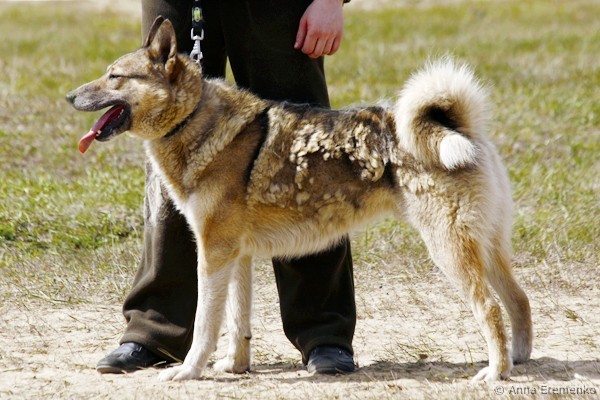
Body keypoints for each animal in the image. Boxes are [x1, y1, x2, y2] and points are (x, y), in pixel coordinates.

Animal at [66, 17, 532, 382]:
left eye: (115, 76)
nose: (69, 96)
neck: (196, 119)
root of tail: (459, 126)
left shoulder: (213, 253)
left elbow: (204, 326)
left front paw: (188, 371)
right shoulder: (237, 255)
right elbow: (237, 322)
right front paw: (234, 367)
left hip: (449, 250)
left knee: (490, 308)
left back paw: (495, 372)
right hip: (486, 248)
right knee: (518, 300)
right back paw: (518, 359)